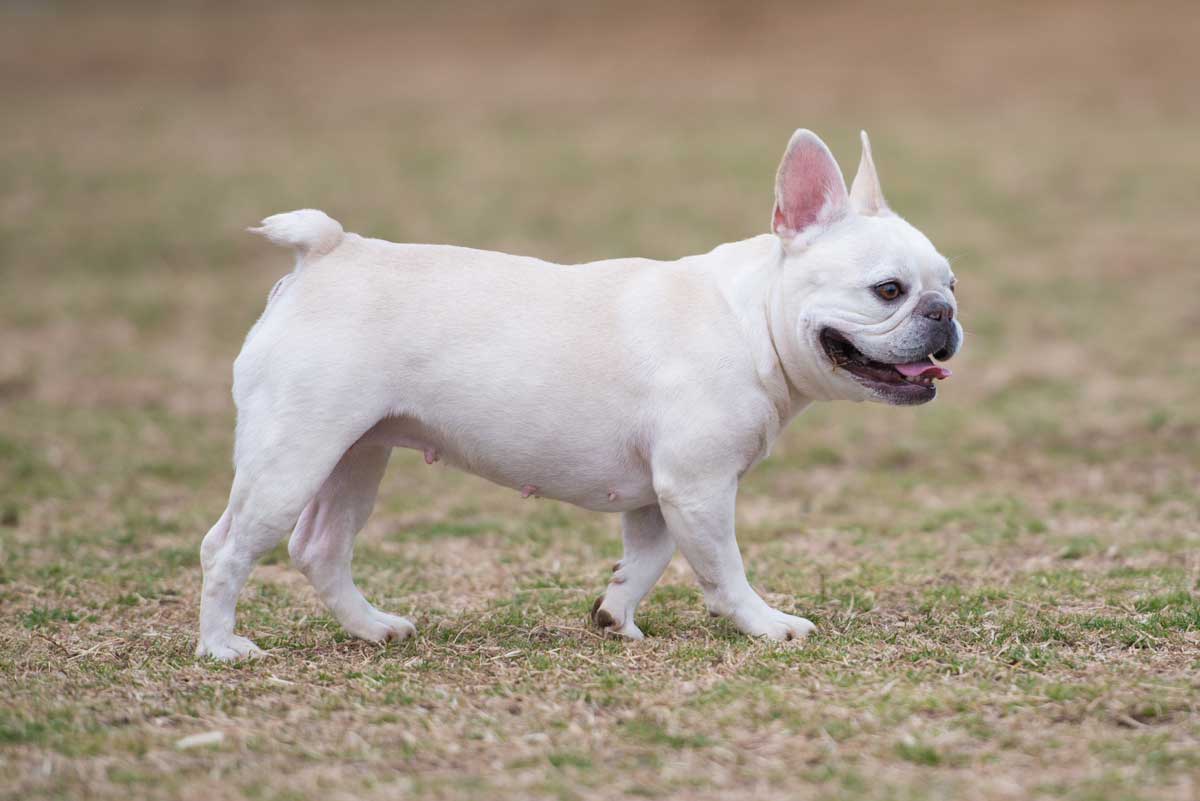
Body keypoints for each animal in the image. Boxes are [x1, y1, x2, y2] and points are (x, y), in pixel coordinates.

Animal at [199, 130, 964, 657]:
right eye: (889, 290)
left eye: (950, 282)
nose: (945, 313)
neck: (750, 319)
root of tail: (329, 251)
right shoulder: (698, 487)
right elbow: (723, 569)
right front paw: (765, 623)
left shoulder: (663, 496)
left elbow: (649, 559)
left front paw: (614, 614)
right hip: (292, 457)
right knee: (225, 548)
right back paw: (221, 647)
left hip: (355, 454)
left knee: (322, 546)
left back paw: (371, 627)